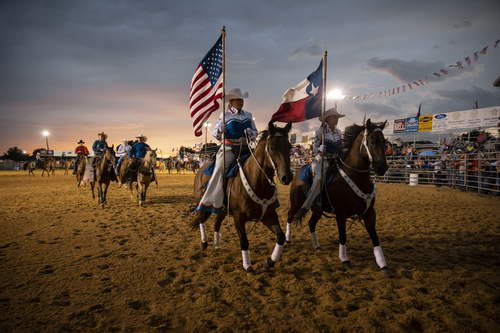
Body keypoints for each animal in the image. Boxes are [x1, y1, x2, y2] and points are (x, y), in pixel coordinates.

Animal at [190, 120, 292, 272]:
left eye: (290, 147)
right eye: (272, 148)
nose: (287, 177)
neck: (258, 182)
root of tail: (201, 167)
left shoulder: (269, 216)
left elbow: (281, 237)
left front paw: (270, 261)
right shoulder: (239, 218)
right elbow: (244, 242)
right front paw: (247, 265)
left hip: (222, 209)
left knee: (216, 224)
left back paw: (217, 246)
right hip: (202, 202)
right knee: (201, 218)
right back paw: (204, 243)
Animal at [284, 118, 392, 276]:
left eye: (384, 141)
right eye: (372, 141)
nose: (382, 168)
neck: (356, 176)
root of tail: (299, 170)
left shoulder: (370, 213)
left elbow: (375, 237)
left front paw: (383, 265)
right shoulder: (341, 214)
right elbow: (343, 236)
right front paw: (345, 260)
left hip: (317, 209)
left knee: (311, 223)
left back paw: (316, 246)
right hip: (296, 203)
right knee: (290, 215)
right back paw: (287, 239)